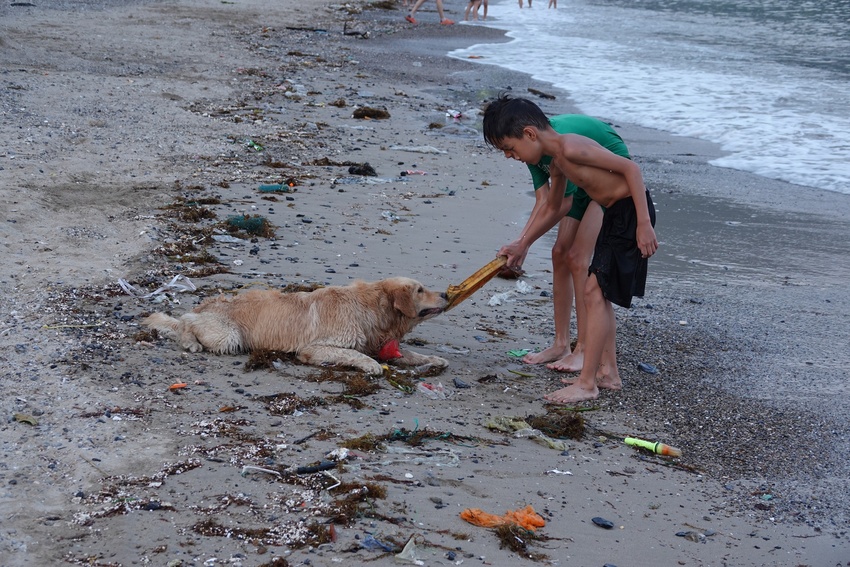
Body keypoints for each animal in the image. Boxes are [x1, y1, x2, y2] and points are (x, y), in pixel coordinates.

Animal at [142, 276, 448, 374]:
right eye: (420, 290)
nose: (446, 294)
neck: (371, 309)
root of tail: (204, 303)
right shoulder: (315, 348)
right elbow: (353, 353)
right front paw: (371, 366)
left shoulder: (378, 343)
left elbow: (411, 354)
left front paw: (434, 359)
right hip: (228, 335)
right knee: (183, 321)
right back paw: (189, 341)